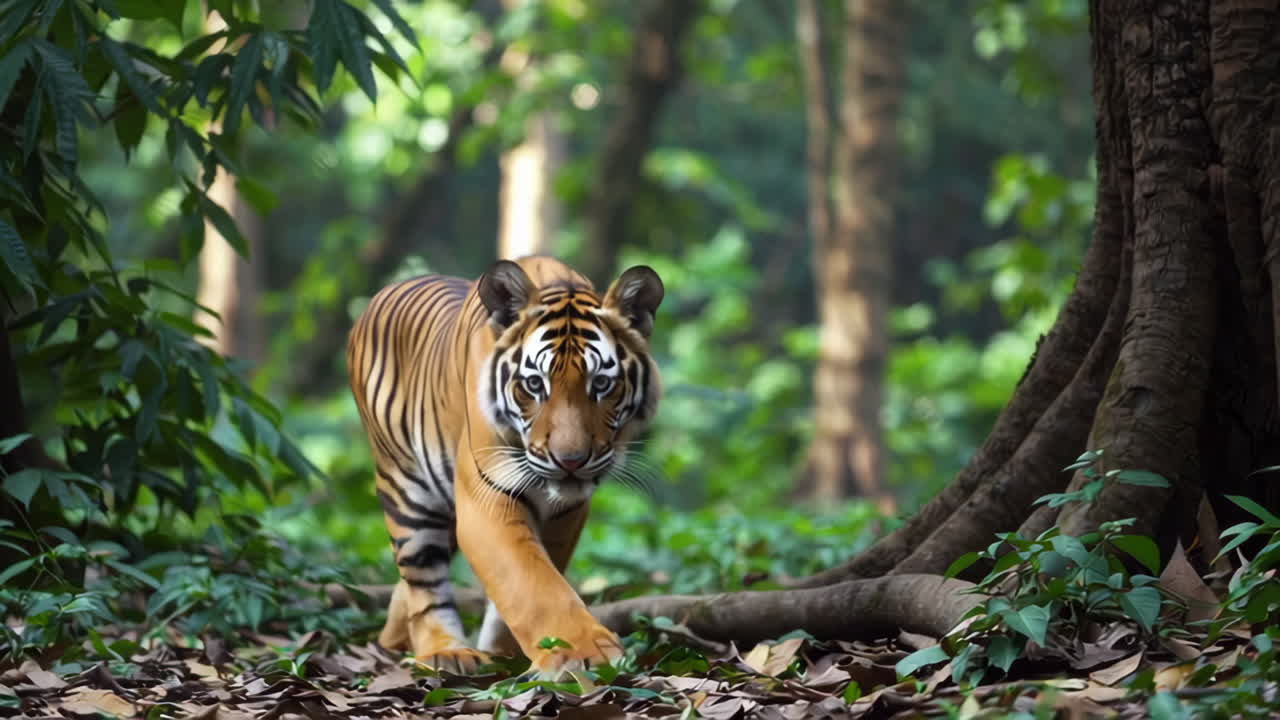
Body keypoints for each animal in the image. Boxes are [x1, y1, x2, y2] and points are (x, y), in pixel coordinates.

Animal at [346, 256, 664, 676]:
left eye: (601, 384)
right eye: (534, 384)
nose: (571, 461)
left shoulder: (567, 512)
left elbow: (534, 577)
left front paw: (512, 654)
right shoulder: (487, 495)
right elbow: (531, 582)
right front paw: (583, 653)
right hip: (407, 492)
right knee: (423, 583)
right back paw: (443, 651)